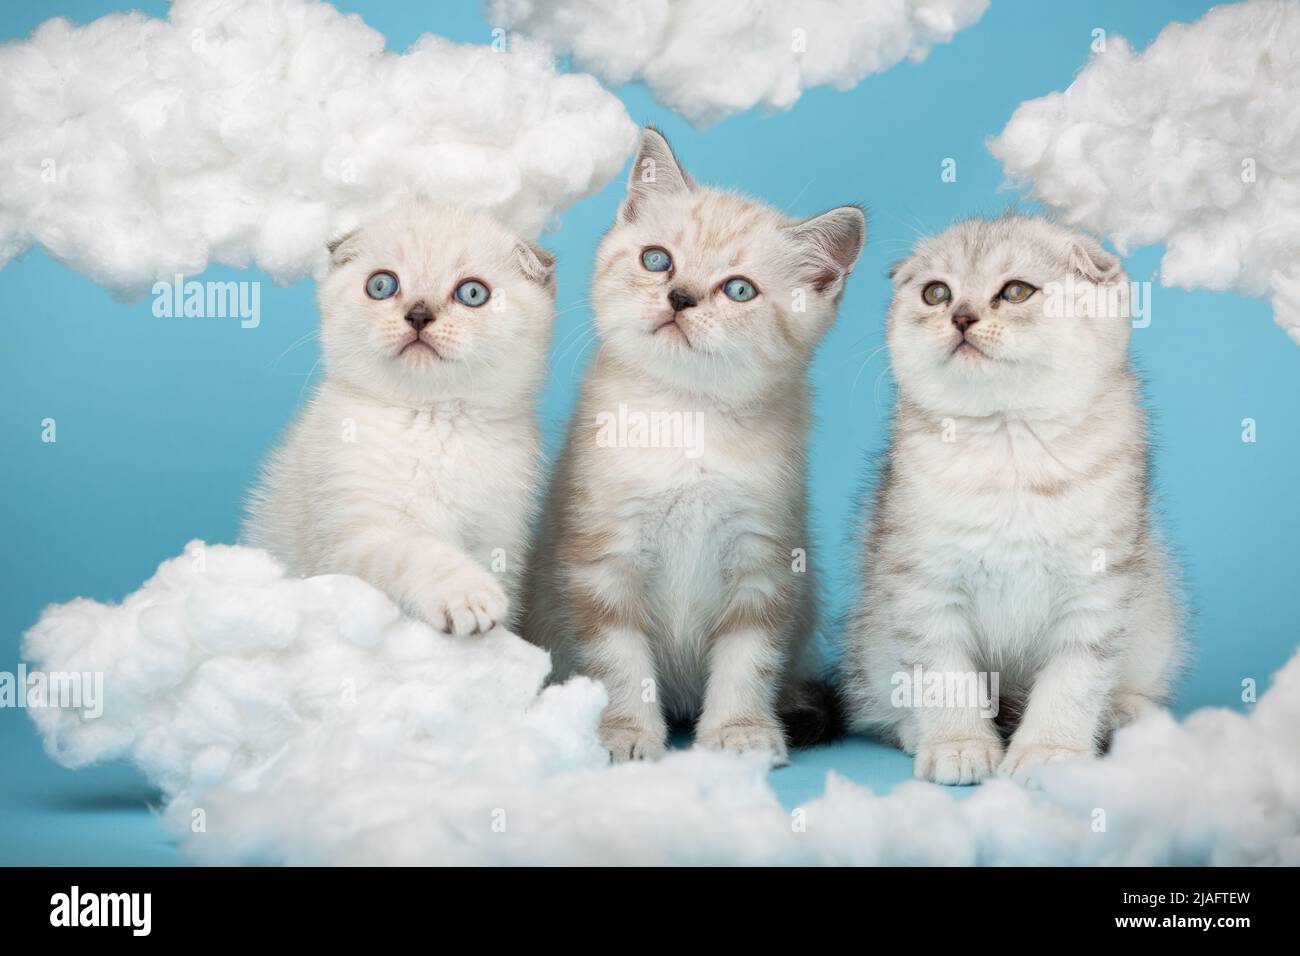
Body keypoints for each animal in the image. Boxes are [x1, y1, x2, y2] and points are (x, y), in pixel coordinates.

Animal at [245, 201, 556, 634]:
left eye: (472, 293)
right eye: (381, 286)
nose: (419, 315)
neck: (433, 419)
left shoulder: (498, 539)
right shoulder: (359, 535)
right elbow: (418, 552)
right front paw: (470, 597)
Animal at [522, 127, 868, 764]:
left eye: (739, 290)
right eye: (656, 260)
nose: (680, 297)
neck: (686, 417)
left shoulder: (765, 561)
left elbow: (747, 661)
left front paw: (740, 732)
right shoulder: (603, 559)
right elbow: (620, 661)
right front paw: (626, 733)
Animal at [837, 214, 1185, 785]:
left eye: (1016, 291)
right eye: (936, 293)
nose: (961, 316)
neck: (1009, 443)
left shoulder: (1097, 587)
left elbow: (1074, 680)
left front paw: (1051, 750)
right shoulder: (922, 584)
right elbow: (943, 675)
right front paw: (958, 745)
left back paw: (1125, 712)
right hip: (870, 642)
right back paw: (914, 731)